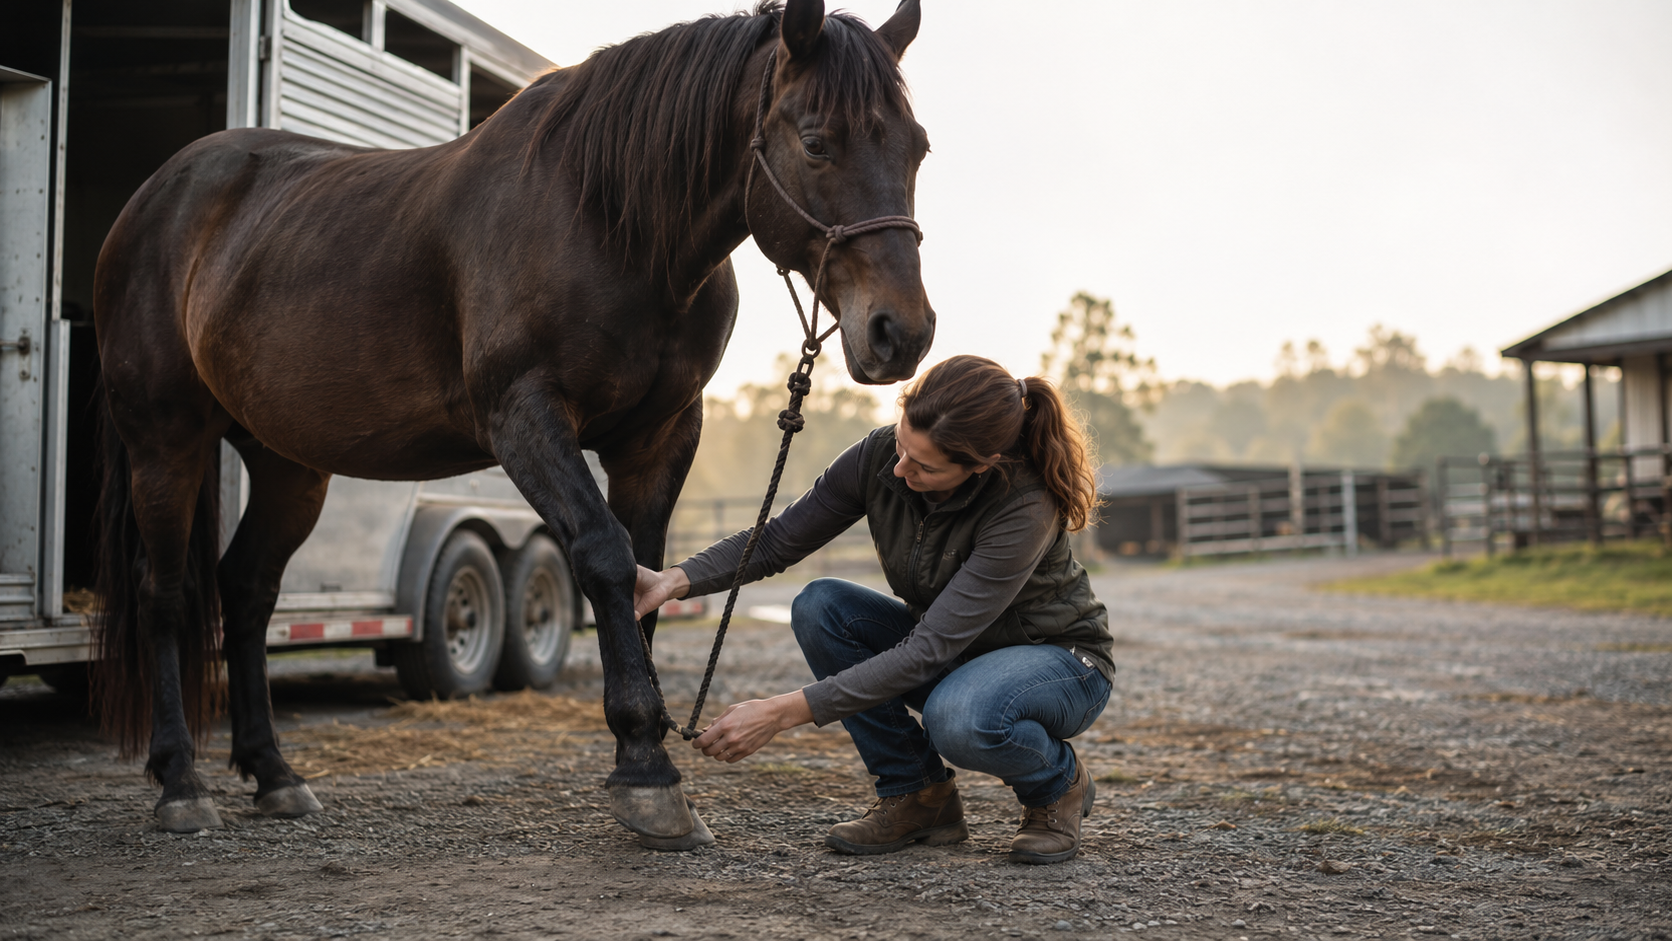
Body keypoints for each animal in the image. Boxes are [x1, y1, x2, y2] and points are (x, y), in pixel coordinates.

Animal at [90, 0, 933, 848]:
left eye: (918, 147)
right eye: (817, 140)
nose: (903, 332)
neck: (610, 220)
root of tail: (157, 196)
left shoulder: (659, 439)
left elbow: (646, 573)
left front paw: (648, 758)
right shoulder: (526, 416)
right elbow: (605, 556)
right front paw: (646, 767)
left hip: (288, 464)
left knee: (248, 590)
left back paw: (274, 773)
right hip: (165, 441)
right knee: (168, 594)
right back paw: (180, 781)